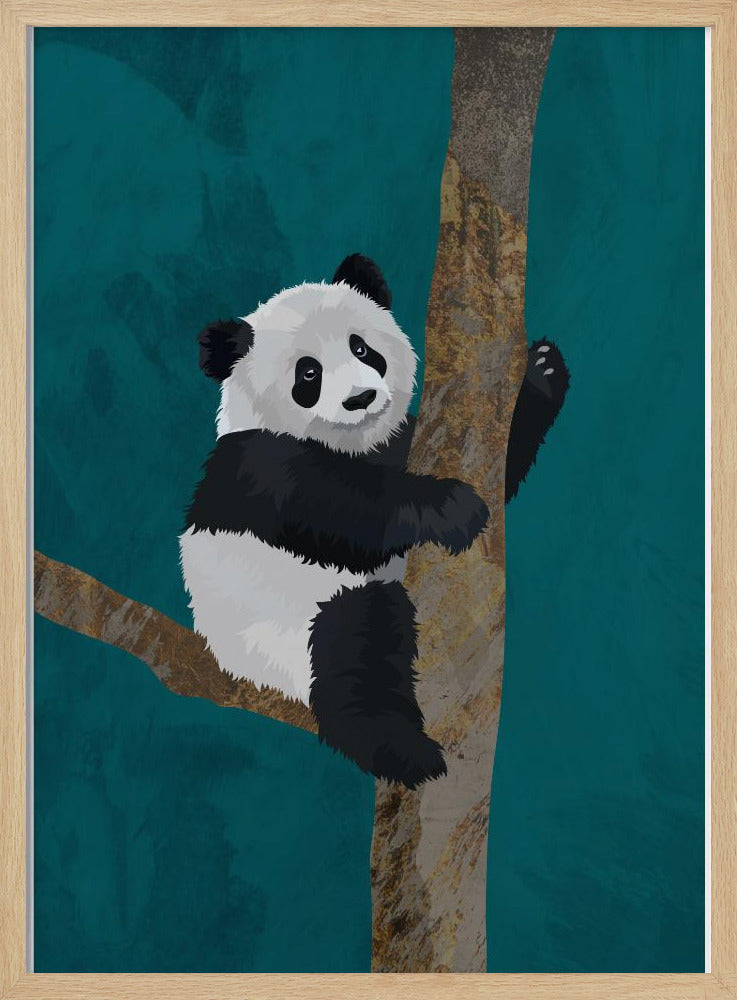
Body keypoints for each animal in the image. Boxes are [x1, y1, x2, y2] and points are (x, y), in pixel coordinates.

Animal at [180, 254, 569, 788]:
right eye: (308, 373)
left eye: (361, 347)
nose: (360, 399)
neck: (351, 445)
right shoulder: (259, 464)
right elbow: (341, 511)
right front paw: (451, 508)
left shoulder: (401, 441)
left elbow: (492, 462)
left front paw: (542, 372)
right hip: (286, 628)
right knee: (359, 653)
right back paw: (404, 752)